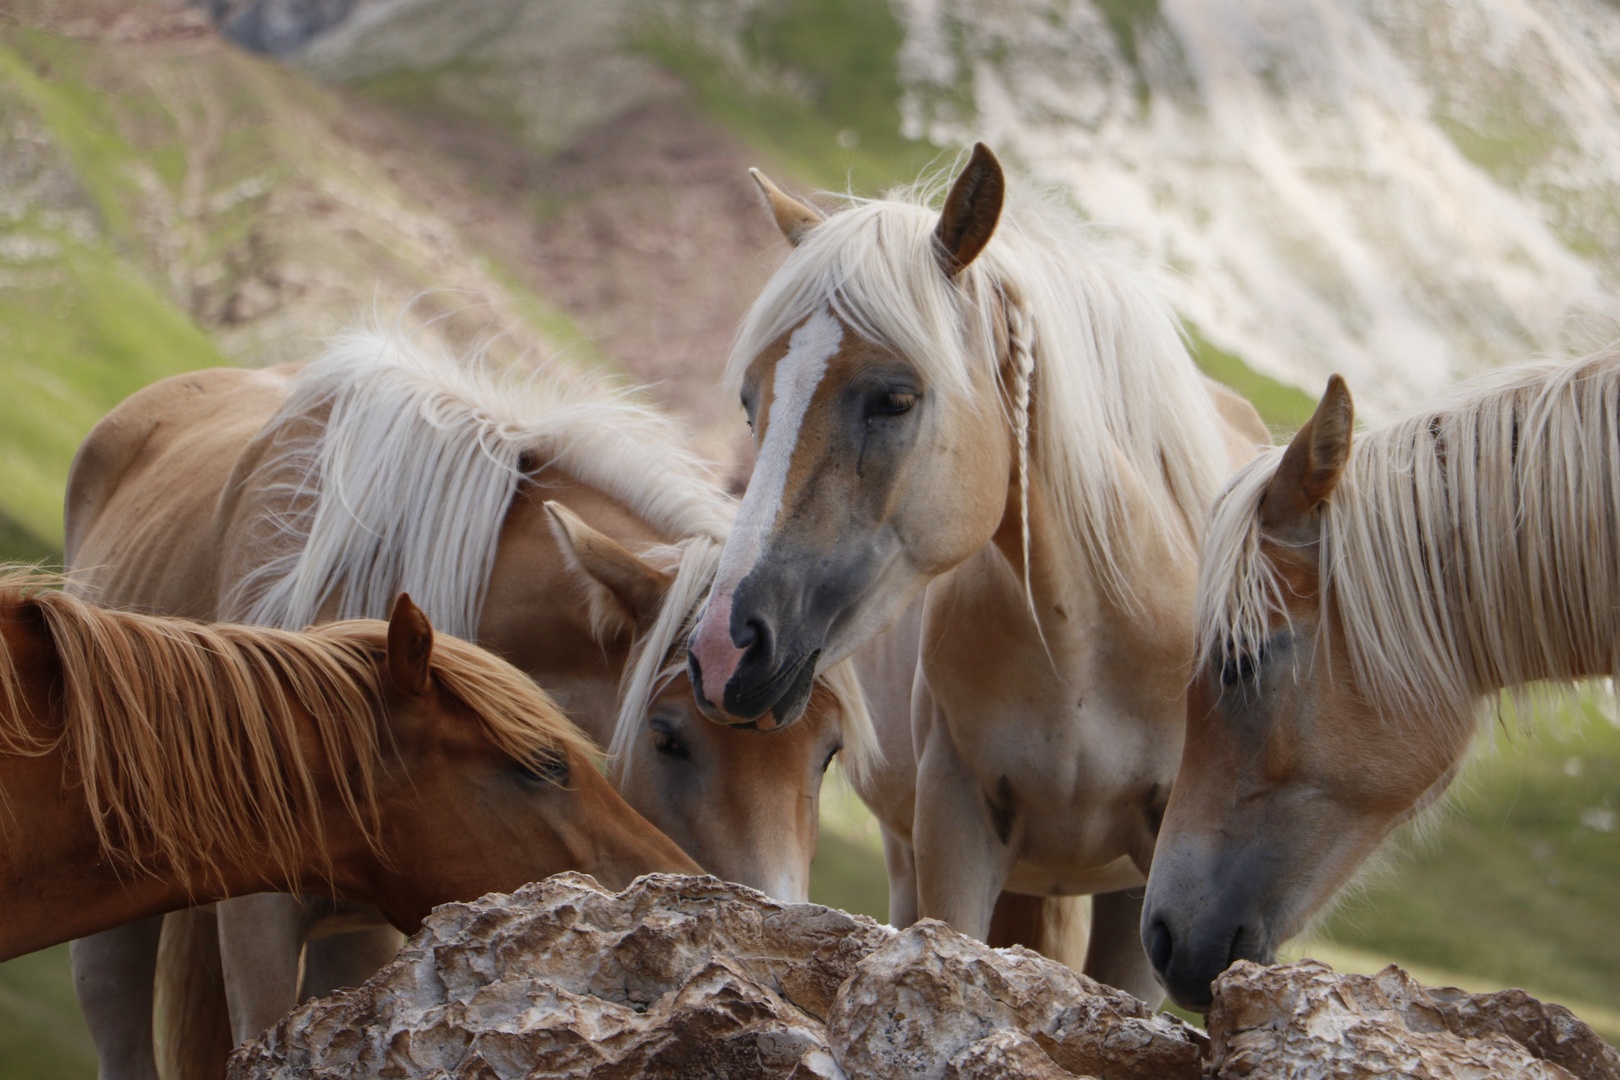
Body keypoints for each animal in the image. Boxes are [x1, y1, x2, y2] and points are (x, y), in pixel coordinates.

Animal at [683, 145, 1263, 1003]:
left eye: (894, 399)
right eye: (754, 403)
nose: (725, 652)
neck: (1092, 642)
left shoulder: (1157, 880)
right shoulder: (954, 835)